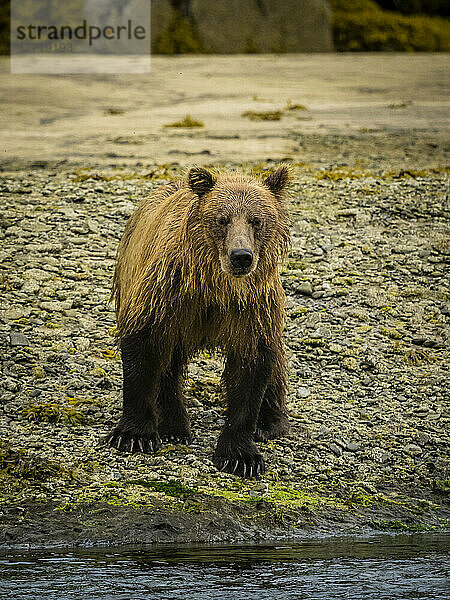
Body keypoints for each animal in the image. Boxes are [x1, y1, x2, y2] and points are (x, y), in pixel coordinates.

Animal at [108, 166, 292, 476]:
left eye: (256, 220)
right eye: (222, 219)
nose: (241, 257)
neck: (214, 284)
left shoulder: (251, 307)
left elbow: (251, 365)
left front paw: (241, 456)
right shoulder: (166, 292)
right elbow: (143, 348)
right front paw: (134, 435)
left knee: (275, 357)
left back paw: (270, 422)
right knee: (168, 363)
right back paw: (174, 427)